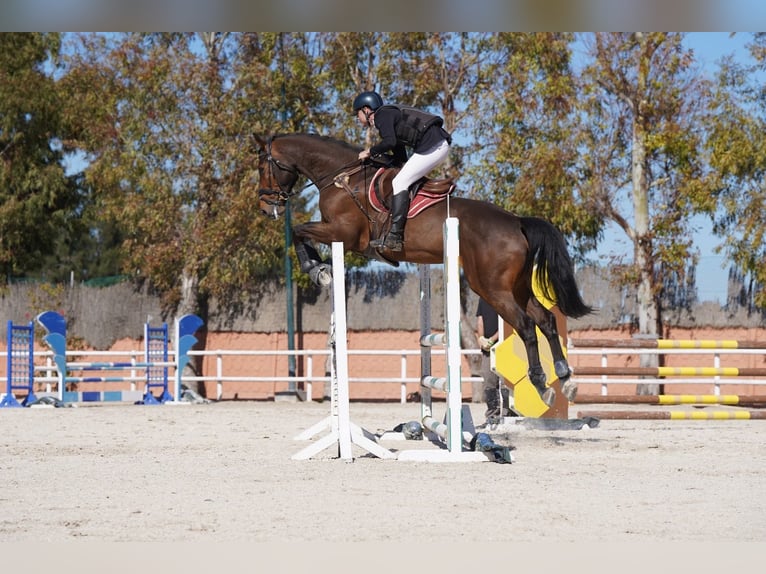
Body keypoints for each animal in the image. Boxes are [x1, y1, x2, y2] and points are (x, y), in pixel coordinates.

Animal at [252, 132, 593, 407]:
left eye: (262, 167)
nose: (266, 208)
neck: (342, 178)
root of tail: (517, 222)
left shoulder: (343, 233)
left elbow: (298, 230)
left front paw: (316, 269)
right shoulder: (339, 234)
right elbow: (300, 231)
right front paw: (320, 268)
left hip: (492, 288)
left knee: (525, 326)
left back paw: (541, 384)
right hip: (517, 288)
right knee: (546, 320)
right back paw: (566, 380)